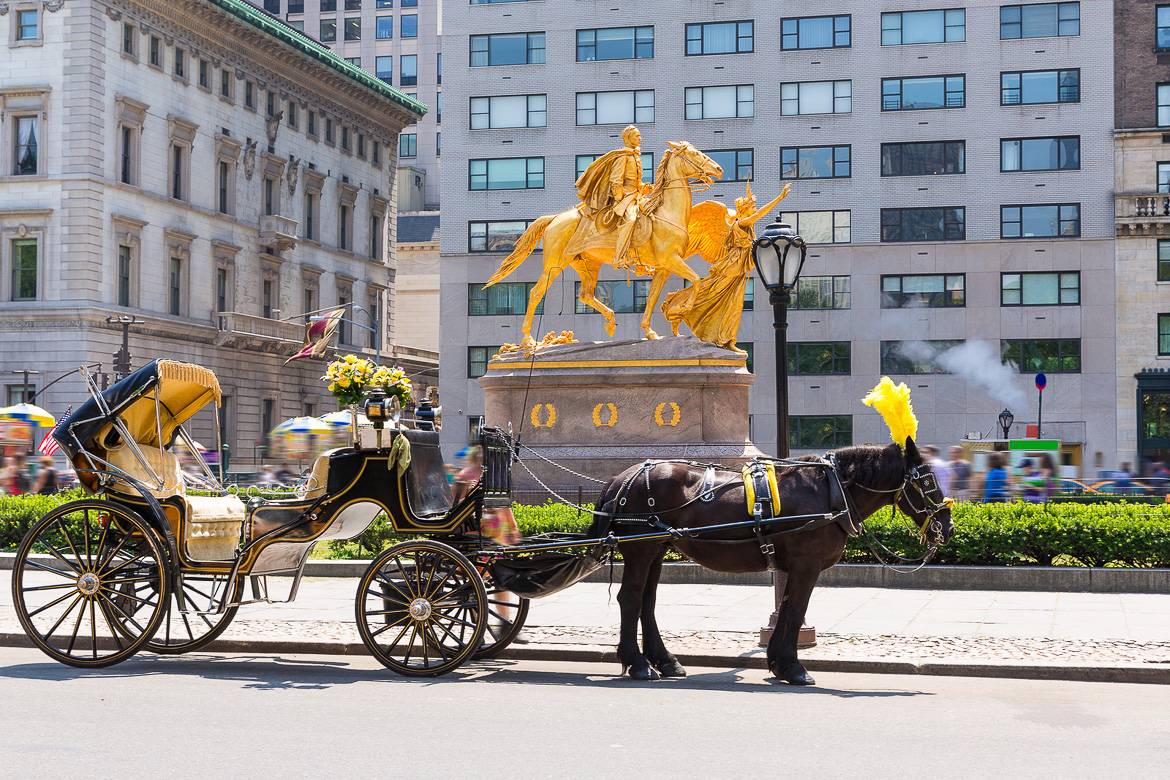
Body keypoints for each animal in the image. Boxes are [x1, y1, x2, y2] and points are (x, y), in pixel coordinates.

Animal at [589, 437, 954, 687]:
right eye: (926, 482)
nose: (947, 527)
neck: (831, 491)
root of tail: (624, 478)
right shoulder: (807, 565)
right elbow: (794, 610)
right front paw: (793, 667)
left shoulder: (796, 567)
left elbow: (790, 607)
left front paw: (779, 662)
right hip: (641, 549)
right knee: (631, 598)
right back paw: (637, 663)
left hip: (656, 549)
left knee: (646, 602)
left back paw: (664, 661)